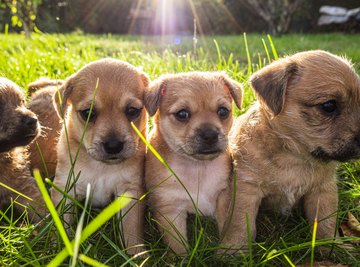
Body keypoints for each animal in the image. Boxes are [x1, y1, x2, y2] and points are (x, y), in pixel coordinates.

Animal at [50, 58, 149, 255]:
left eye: (133, 111)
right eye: (88, 113)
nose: (113, 146)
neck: (102, 167)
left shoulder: (130, 191)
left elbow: (131, 228)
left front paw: (136, 255)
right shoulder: (65, 187)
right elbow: (63, 221)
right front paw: (62, 248)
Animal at [145, 71, 243, 255]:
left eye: (223, 111)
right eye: (182, 114)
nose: (210, 135)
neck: (197, 167)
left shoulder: (224, 197)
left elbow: (227, 228)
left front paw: (226, 253)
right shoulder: (170, 211)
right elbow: (177, 245)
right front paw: (181, 258)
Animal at [221, 50, 360, 253]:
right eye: (329, 106)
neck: (294, 156)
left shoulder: (323, 190)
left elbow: (325, 223)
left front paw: (332, 248)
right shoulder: (246, 188)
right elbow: (239, 223)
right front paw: (232, 250)